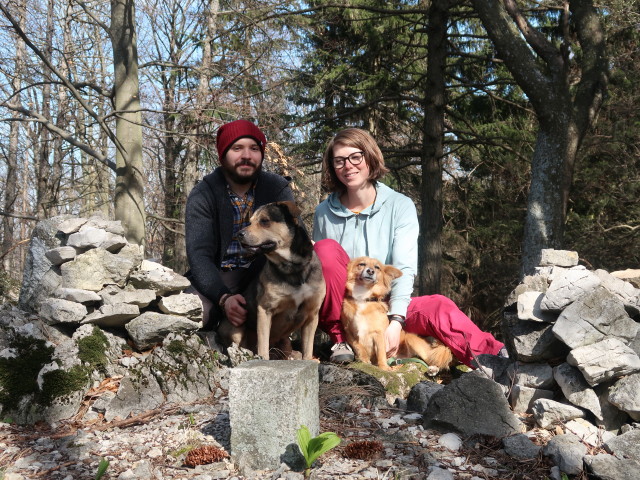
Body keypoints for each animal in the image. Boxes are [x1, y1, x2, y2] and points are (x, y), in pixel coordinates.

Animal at [218, 200, 324, 360]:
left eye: (264, 221)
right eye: (250, 222)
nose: (239, 234)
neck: (293, 267)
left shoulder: (312, 314)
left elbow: (308, 347)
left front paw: (309, 359)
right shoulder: (265, 310)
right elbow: (263, 344)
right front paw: (262, 358)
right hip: (234, 328)